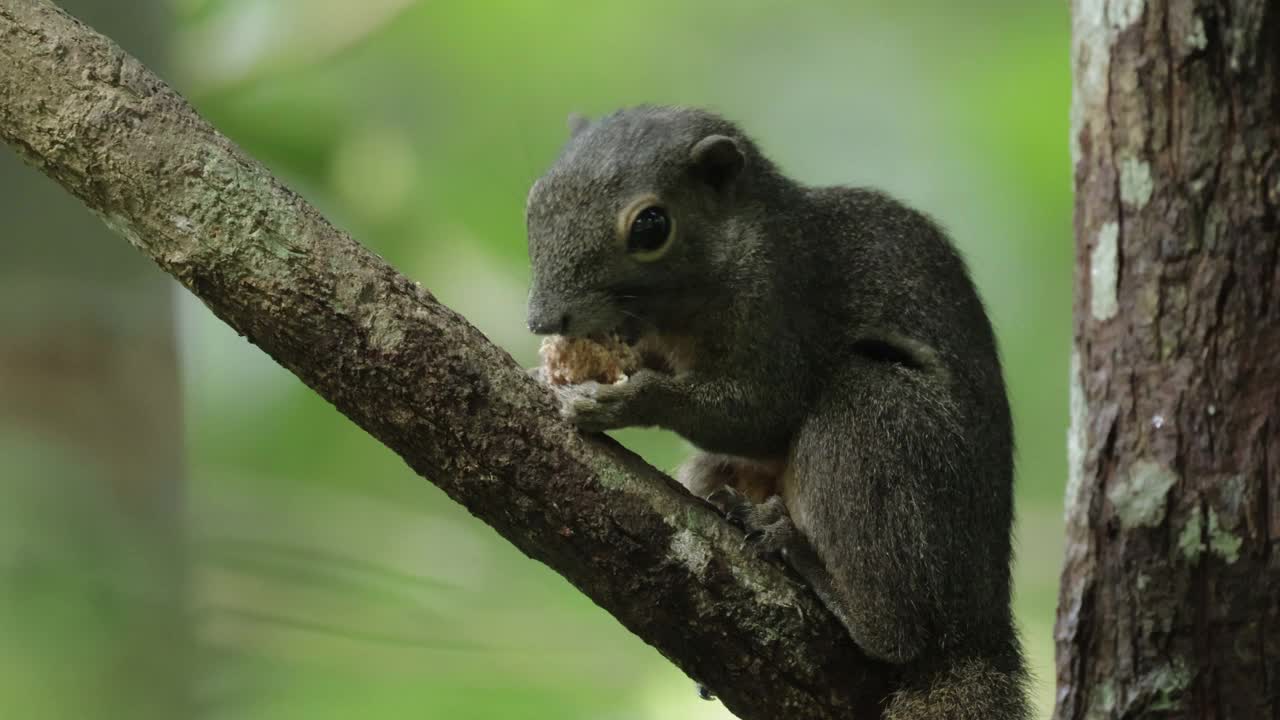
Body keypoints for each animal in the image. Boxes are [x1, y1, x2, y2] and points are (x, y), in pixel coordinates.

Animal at [519, 106, 1029, 717]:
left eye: (650, 227)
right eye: (534, 199)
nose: (543, 319)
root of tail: (981, 625)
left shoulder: (783, 303)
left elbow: (764, 411)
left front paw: (627, 399)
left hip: (875, 422)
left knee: (900, 636)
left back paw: (802, 559)